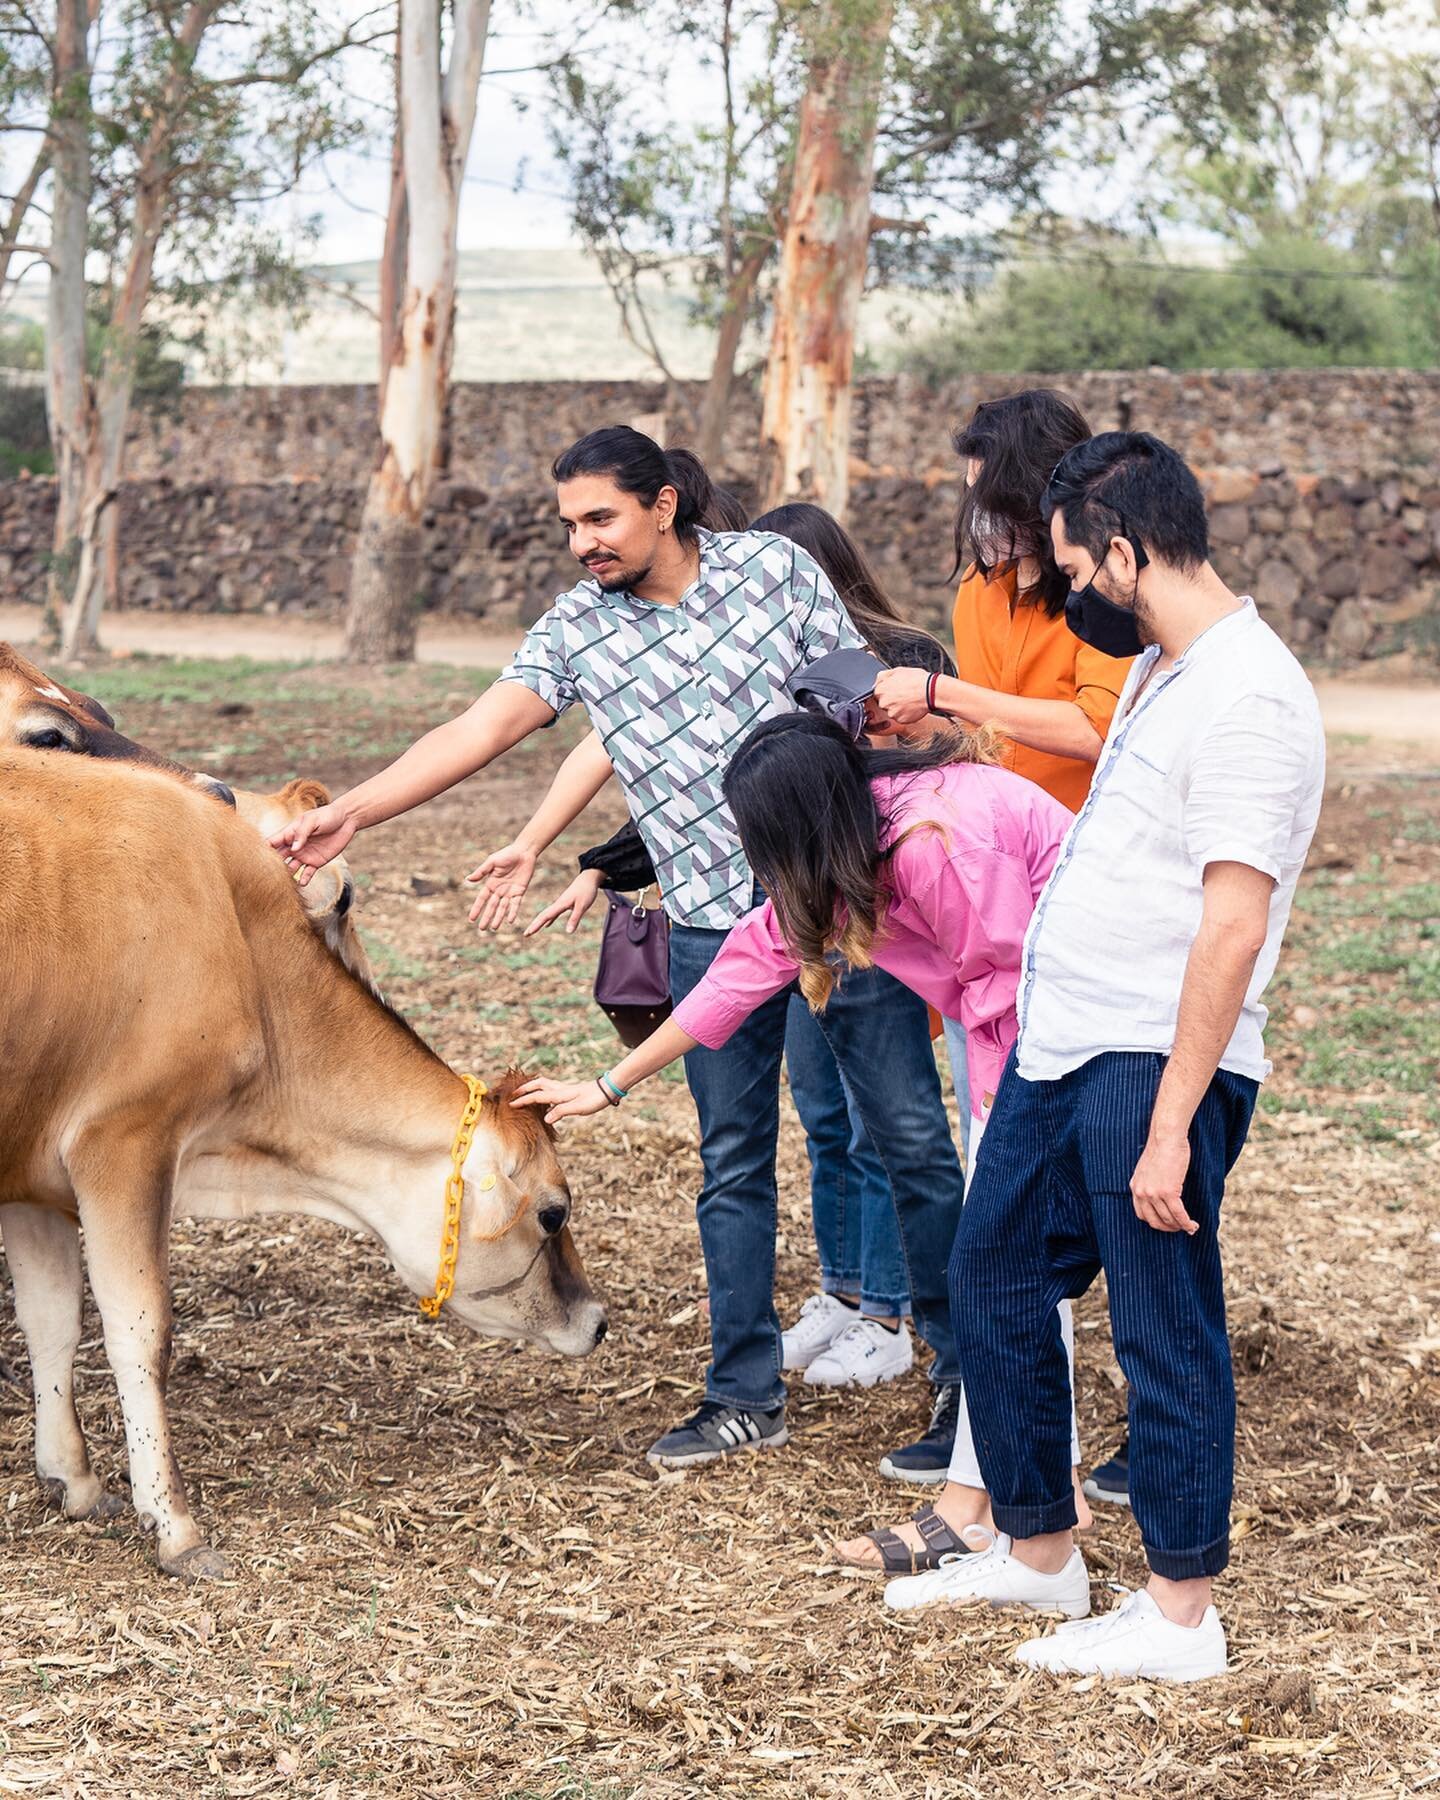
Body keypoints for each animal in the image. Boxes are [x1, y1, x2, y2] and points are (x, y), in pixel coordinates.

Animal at [0, 752, 601, 1584]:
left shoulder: (31, 1173)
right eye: (553, 1211)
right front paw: (175, 1526)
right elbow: (138, 1330)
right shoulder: (123, 1142)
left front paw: (74, 1480)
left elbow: (53, 1320)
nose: (598, 1320)